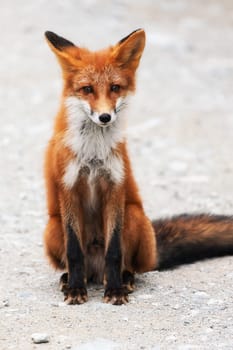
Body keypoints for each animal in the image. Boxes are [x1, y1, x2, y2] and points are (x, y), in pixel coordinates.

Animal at [43, 29, 233, 304]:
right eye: (87, 89)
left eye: (115, 88)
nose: (105, 117)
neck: (93, 154)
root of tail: (95, 270)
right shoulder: (68, 187)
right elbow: (74, 252)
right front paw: (77, 290)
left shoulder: (115, 186)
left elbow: (114, 252)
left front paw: (115, 290)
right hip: (52, 228)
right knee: (77, 262)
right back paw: (70, 279)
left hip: (134, 216)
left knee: (128, 264)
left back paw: (124, 279)